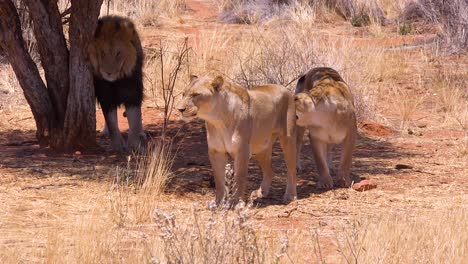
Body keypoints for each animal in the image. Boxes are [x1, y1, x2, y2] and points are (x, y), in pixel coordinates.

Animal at [176, 76, 296, 204]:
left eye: (196, 94)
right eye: (183, 94)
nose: (180, 109)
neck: (218, 121)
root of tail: (284, 88)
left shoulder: (242, 150)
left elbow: (239, 178)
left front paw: (236, 202)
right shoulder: (216, 151)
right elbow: (219, 180)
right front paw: (218, 202)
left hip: (288, 139)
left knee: (291, 170)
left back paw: (290, 195)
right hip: (261, 148)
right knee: (270, 171)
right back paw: (261, 193)